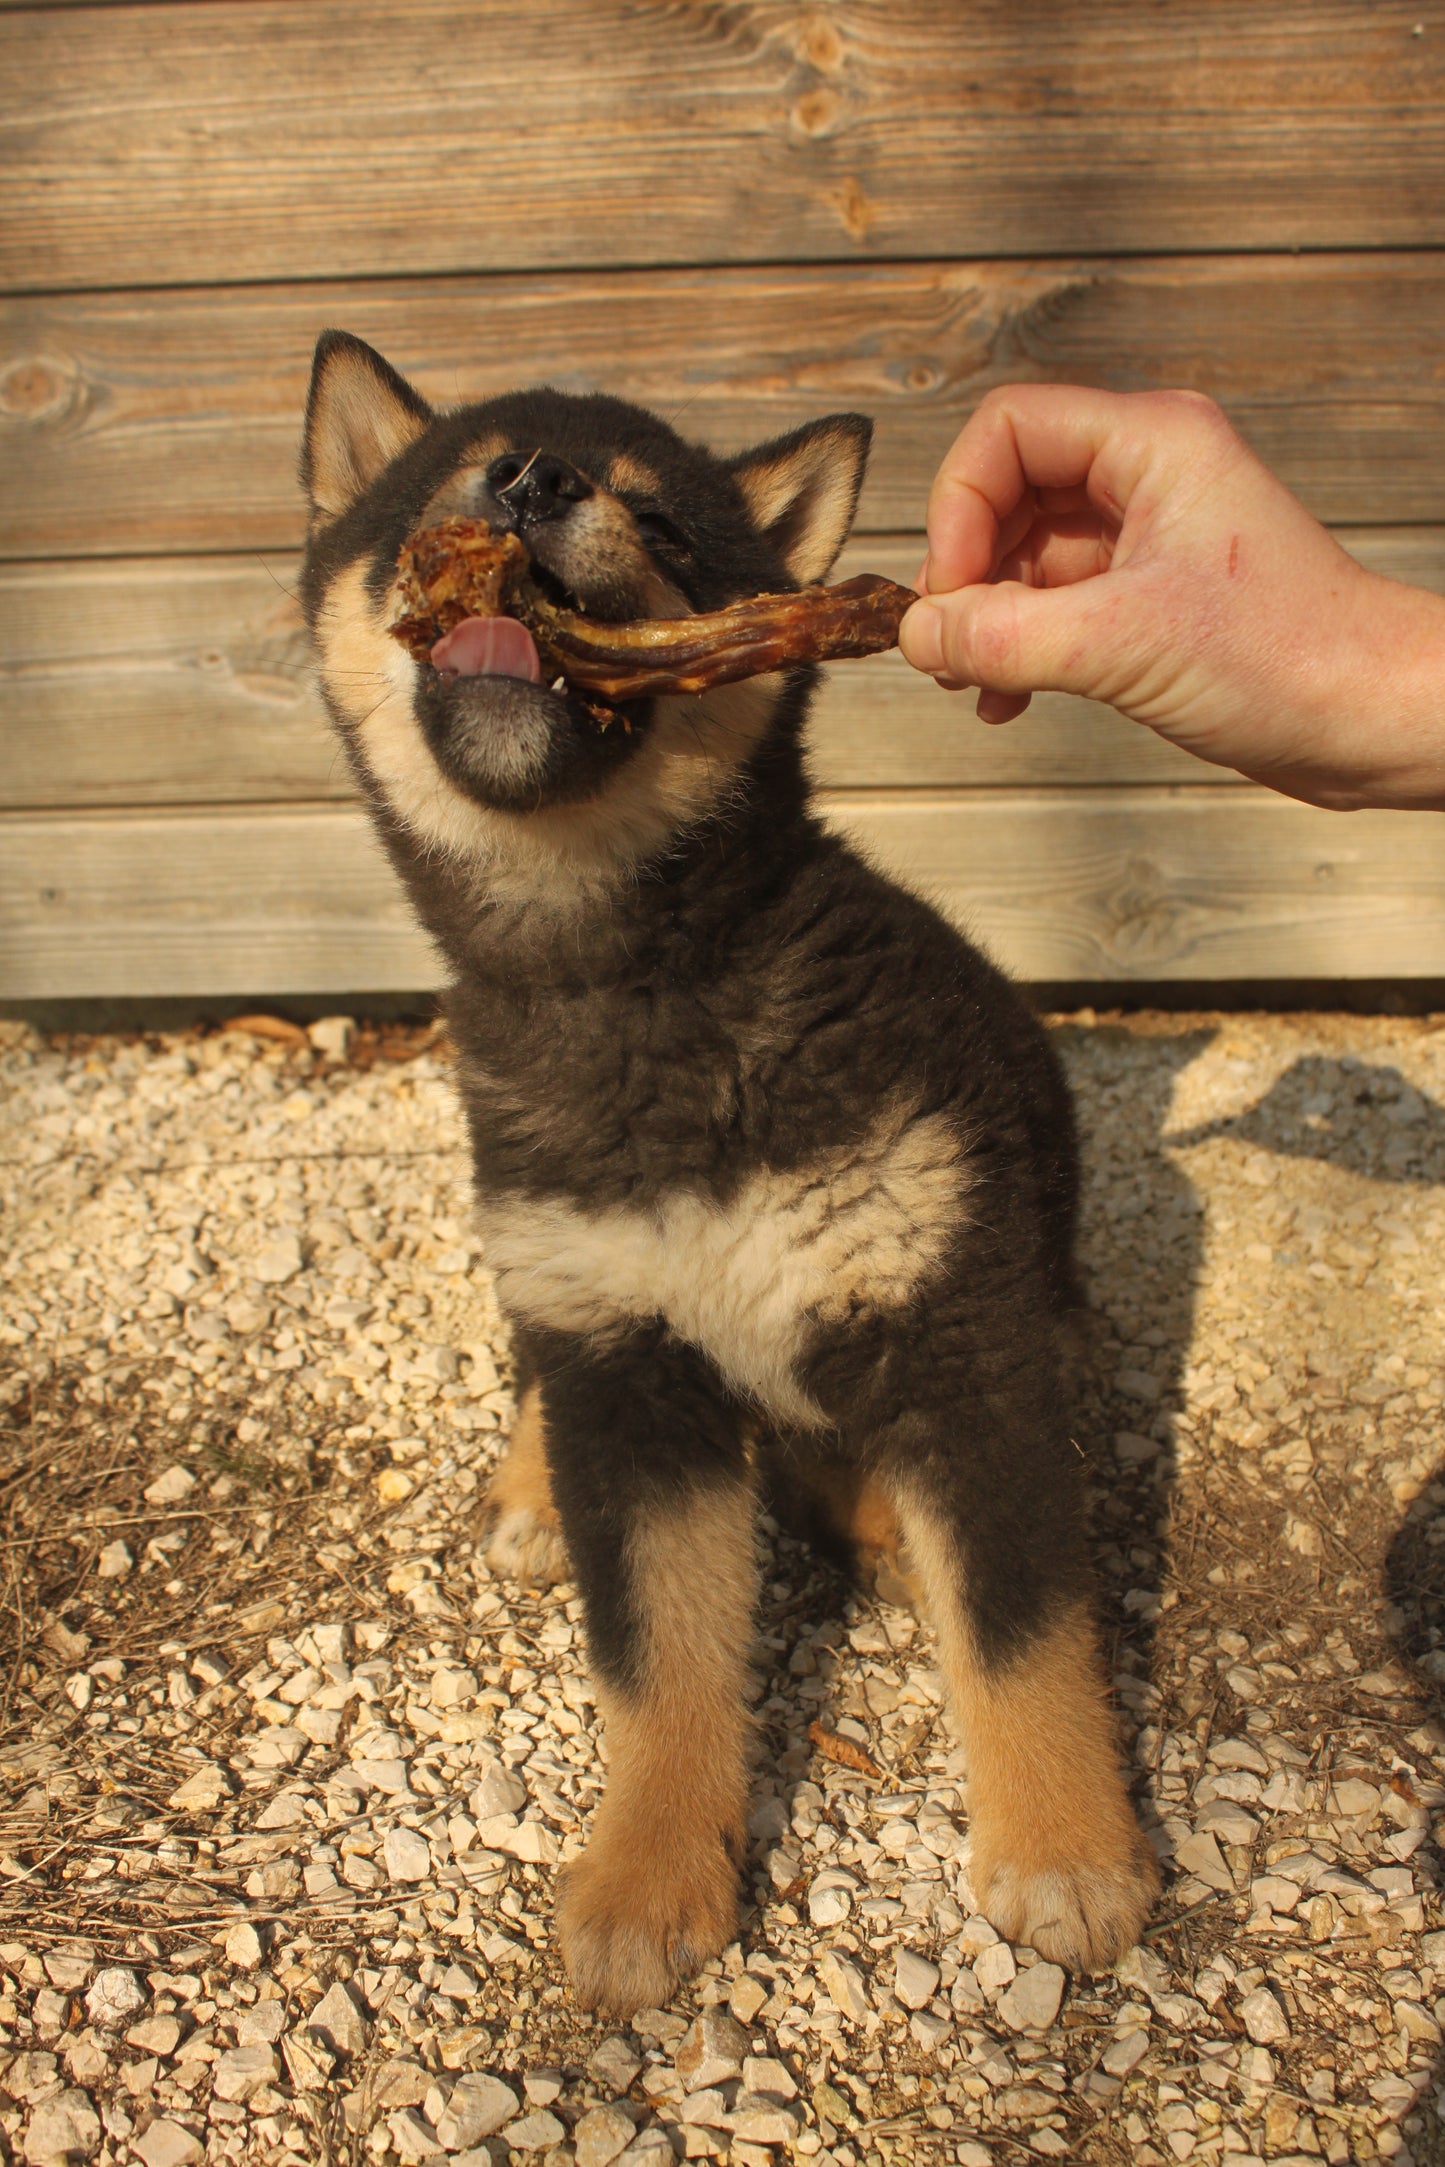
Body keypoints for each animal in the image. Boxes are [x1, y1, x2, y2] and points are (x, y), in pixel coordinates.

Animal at [298, 325, 1161, 2010]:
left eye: (665, 520)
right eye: (447, 484)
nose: (531, 481)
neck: (631, 980)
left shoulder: (962, 1341)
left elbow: (1025, 1631)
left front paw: (1064, 1849)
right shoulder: (628, 1375)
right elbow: (659, 1665)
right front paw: (645, 1875)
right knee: (539, 1376)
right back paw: (532, 1488)